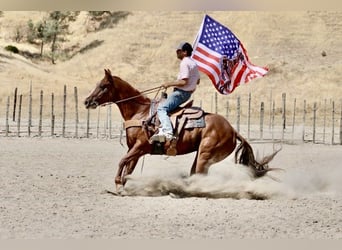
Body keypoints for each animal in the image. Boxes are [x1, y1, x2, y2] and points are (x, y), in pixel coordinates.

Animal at [83, 69, 280, 190]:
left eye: (103, 86)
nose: (86, 101)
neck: (140, 112)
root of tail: (232, 130)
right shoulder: (136, 150)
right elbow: (128, 168)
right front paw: (122, 186)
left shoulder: (140, 147)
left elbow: (122, 162)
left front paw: (117, 183)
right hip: (201, 155)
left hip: (205, 155)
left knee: (200, 175)